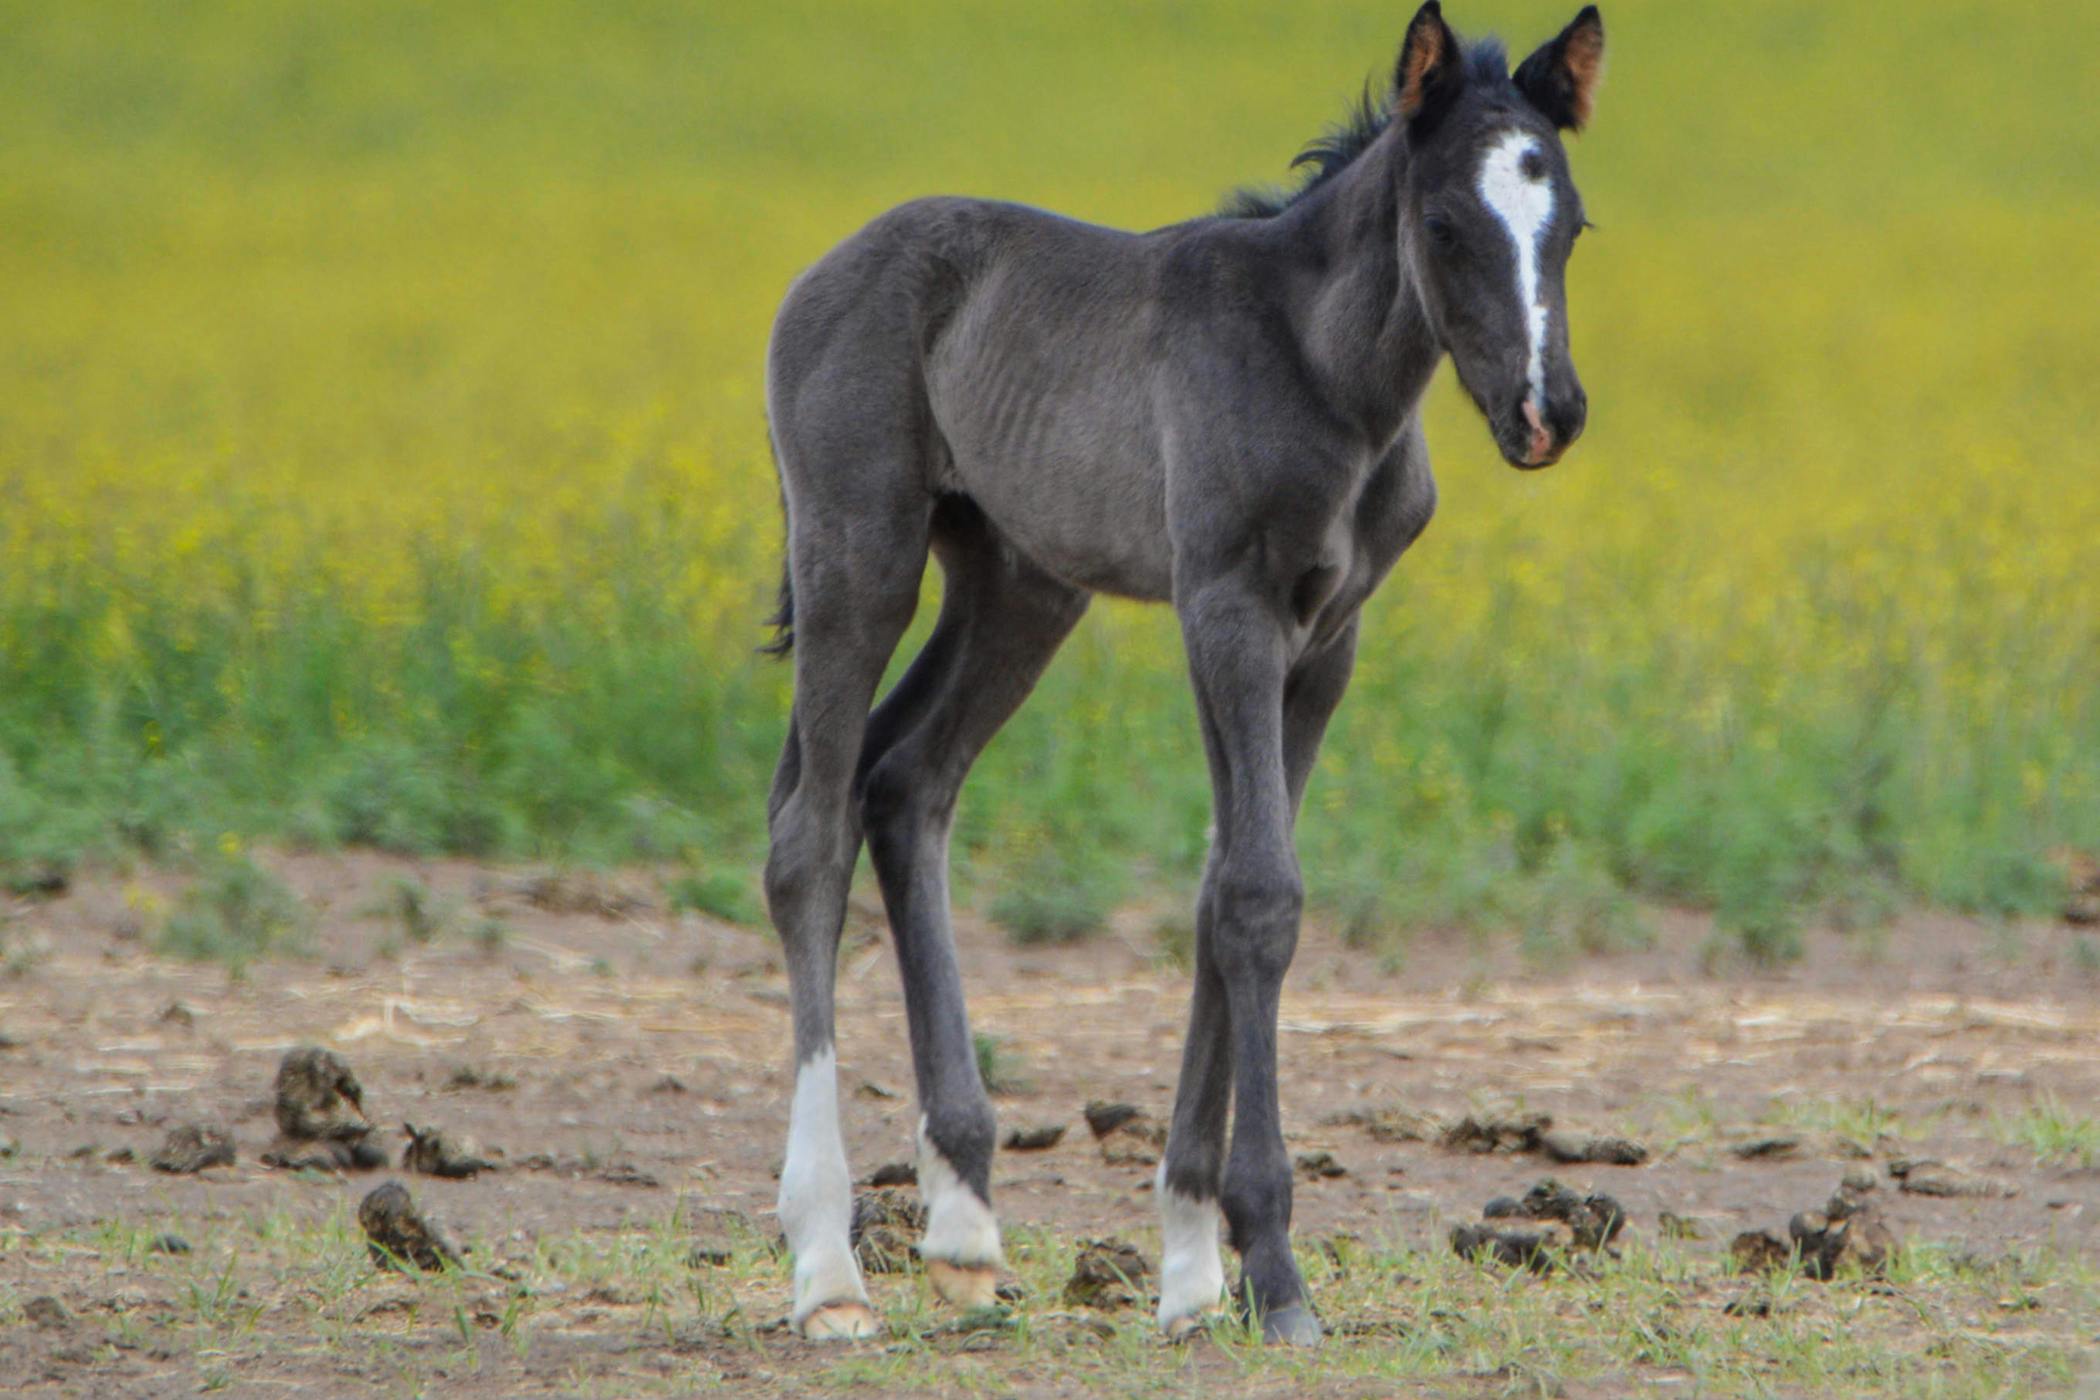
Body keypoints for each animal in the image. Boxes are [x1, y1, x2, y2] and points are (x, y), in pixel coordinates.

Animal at [764, 2, 1595, 1343]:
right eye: (1443, 224)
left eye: (1569, 223)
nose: (1544, 413)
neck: (1323, 373)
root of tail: (822, 272)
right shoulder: (1227, 609)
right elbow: (1258, 892)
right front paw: (1275, 1270)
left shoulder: (1328, 639)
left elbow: (1222, 889)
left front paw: (1195, 1267)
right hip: (858, 550)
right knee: (809, 831)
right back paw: (829, 1267)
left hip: (1019, 582)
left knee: (905, 784)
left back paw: (965, 1228)